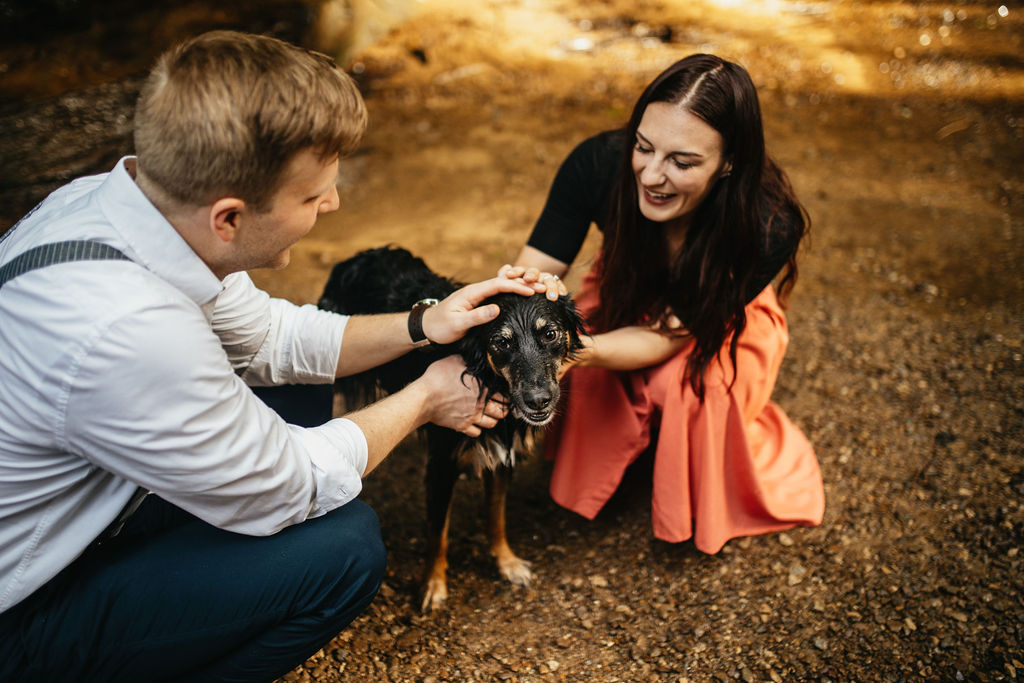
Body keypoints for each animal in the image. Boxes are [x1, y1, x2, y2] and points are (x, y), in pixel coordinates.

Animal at [317, 245, 585, 610]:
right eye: (502, 343)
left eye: (551, 334)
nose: (538, 401)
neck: (488, 380)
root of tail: (360, 255)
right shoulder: (441, 464)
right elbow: (438, 533)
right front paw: (433, 584)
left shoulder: (503, 455)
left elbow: (496, 515)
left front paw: (506, 562)